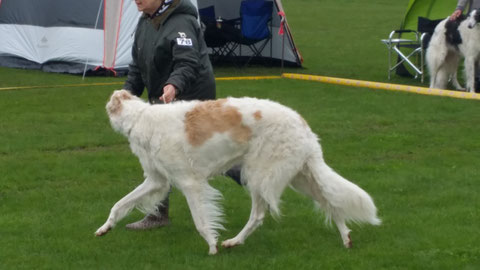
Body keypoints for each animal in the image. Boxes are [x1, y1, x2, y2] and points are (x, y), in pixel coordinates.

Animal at [95, 89, 380, 254]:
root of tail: (303, 124)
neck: (140, 117)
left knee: (259, 214)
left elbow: (201, 222)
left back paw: (233, 241)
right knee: (330, 203)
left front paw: (211, 246)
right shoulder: (157, 181)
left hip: (259, 175)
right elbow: (119, 204)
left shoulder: (190, 183)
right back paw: (345, 238)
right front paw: (104, 228)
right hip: (298, 177)